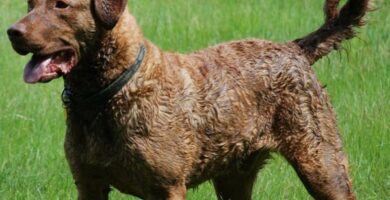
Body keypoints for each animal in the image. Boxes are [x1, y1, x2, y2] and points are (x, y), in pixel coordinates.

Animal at [7, 0, 370, 200]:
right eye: (30, 3)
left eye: (62, 4)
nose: (12, 31)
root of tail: (295, 48)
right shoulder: (89, 185)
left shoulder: (167, 188)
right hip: (234, 177)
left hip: (322, 163)